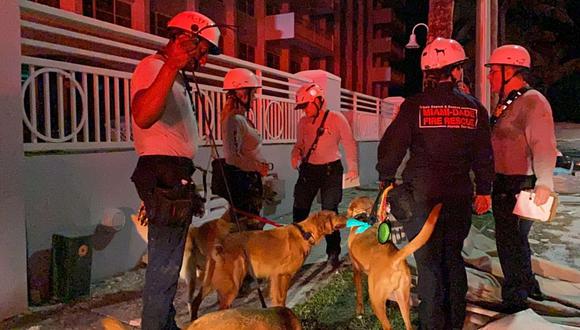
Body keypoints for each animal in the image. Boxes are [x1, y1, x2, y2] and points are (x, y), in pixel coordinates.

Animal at [208, 210, 344, 308]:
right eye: (335, 215)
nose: (346, 216)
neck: (304, 233)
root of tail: (220, 245)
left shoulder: (275, 277)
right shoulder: (282, 275)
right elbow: (281, 298)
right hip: (232, 284)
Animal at [346, 197, 442, 328]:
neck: (362, 219)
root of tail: (394, 258)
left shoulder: (356, 270)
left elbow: (359, 292)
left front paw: (359, 311)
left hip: (376, 302)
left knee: (387, 326)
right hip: (403, 298)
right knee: (408, 325)